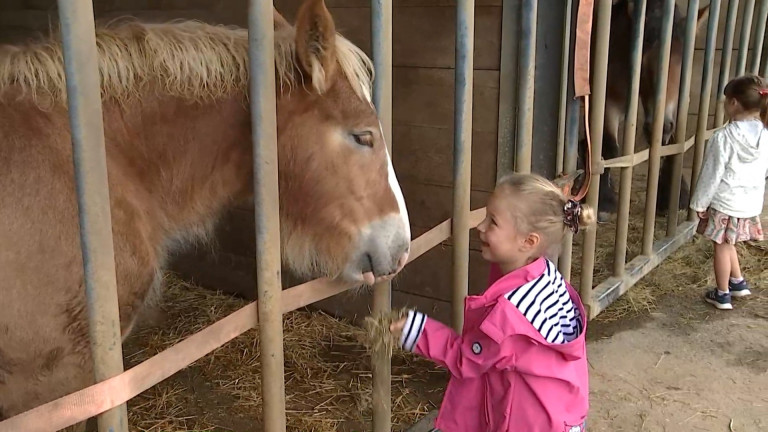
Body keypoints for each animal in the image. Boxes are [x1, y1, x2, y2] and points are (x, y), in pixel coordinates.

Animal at [584, 0, 712, 221]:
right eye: (641, 65)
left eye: (684, 69)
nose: (660, 128)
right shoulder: (609, 103)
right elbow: (609, 147)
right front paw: (604, 202)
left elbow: (675, 144)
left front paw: (673, 196)